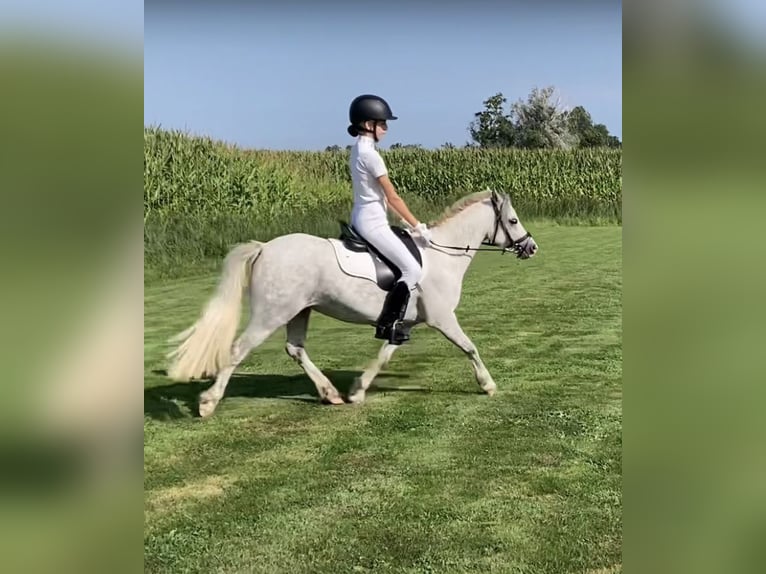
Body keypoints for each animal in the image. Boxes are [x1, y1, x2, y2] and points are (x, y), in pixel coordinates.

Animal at [168, 191, 540, 416]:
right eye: (512, 221)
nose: (531, 247)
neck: (441, 255)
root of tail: (264, 248)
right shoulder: (442, 319)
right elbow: (470, 348)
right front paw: (488, 385)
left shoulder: (402, 323)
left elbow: (384, 356)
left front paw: (358, 391)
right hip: (271, 314)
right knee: (237, 350)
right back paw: (208, 402)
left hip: (299, 311)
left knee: (295, 349)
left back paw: (329, 393)